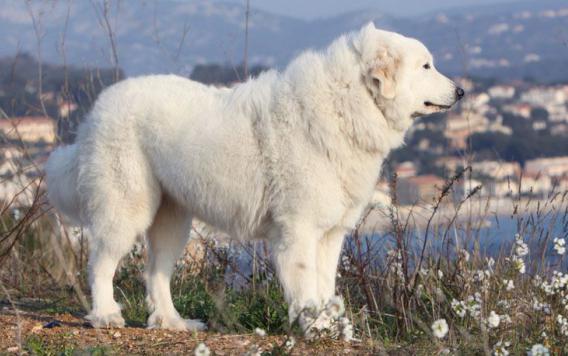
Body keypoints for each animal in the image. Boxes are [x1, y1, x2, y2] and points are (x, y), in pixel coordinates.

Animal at [44, 23, 462, 336]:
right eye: (426, 66)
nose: (460, 91)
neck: (347, 103)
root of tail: (98, 108)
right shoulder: (299, 229)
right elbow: (307, 286)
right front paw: (313, 328)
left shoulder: (330, 234)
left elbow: (326, 286)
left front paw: (330, 327)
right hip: (127, 208)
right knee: (101, 262)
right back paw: (105, 314)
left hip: (172, 220)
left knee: (156, 271)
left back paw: (173, 322)